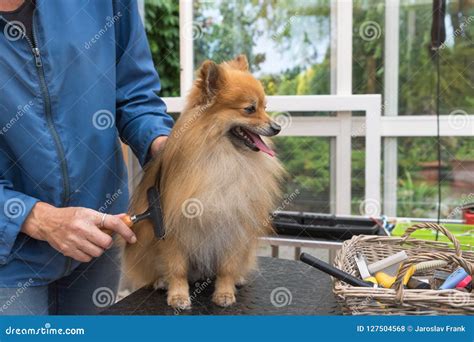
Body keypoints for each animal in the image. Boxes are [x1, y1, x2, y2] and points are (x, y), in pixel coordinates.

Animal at [123, 54, 286, 308]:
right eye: (250, 109)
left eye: (265, 107)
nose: (277, 127)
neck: (220, 156)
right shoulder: (171, 228)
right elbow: (177, 268)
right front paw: (178, 295)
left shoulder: (233, 225)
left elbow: (227, 267)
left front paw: (225, 292)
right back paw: (161, 281)